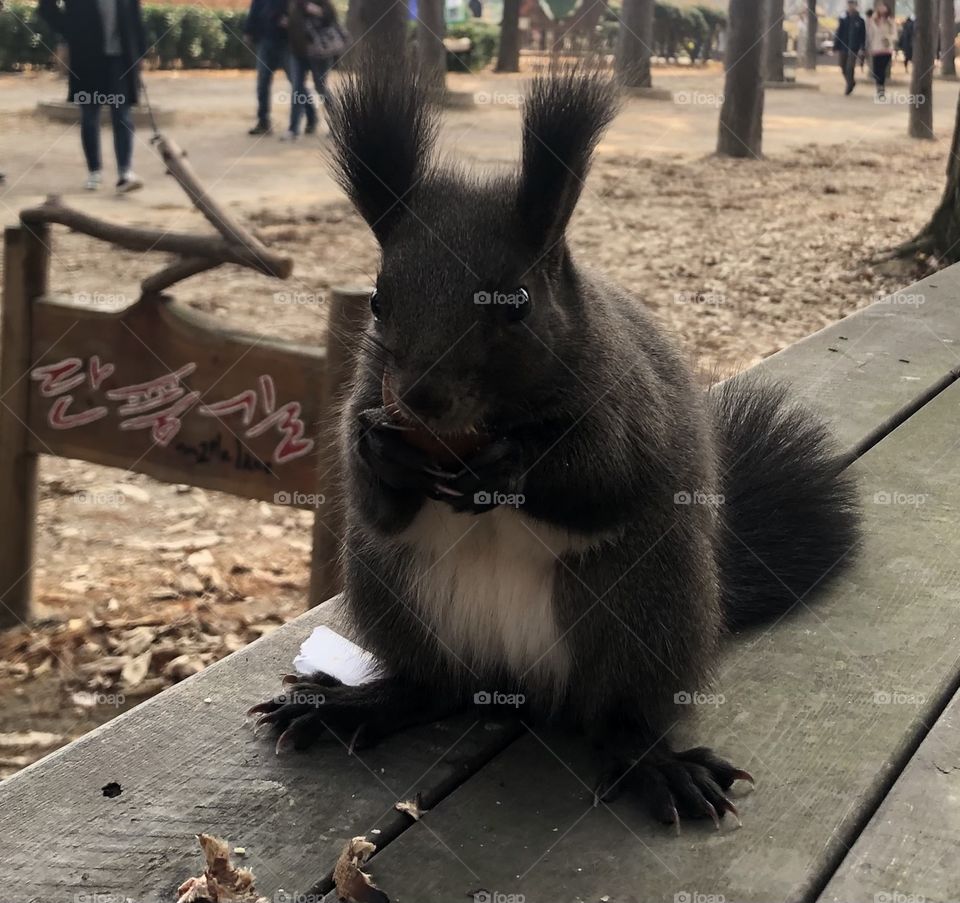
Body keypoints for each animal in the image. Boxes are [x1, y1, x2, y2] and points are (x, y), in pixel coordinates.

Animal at [250, 56, 861, 828]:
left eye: (515, 304)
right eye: (380, 301)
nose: (421, 398)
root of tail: (516, 683)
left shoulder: (627, 401)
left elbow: (604, 475)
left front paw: (507, 470)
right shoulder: (366, 390)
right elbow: (372, 499)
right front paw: (384, 452)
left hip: (638, 608)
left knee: (615, 713)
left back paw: (655, 764)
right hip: (395, 592)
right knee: (431, 688)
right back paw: (356, 703)